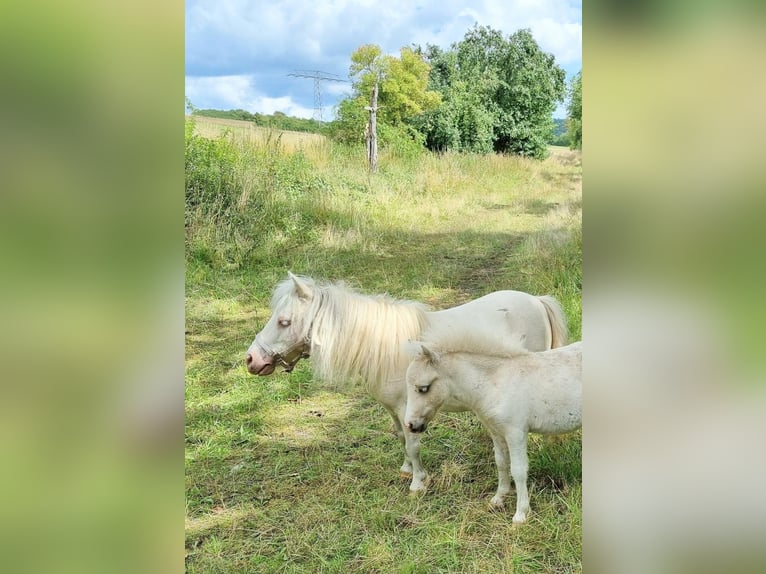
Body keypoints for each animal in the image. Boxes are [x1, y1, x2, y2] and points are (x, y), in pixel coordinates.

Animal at [245, 272, 568, 492]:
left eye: (284, 322)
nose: (251, 359)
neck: (383, 345)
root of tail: (537, 301)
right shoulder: (395, 410)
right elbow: (401, 438)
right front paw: (406, 470)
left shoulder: (408, 408)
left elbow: (413, 445)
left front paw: (418, 483)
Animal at [404, 330, 582, 524]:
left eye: (423, 388)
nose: (410, 425)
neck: (495, 382)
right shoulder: (496, 431)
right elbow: (501, 463)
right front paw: (498, 499)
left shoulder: (516, 432)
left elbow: (518, 470)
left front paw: (520, 515)